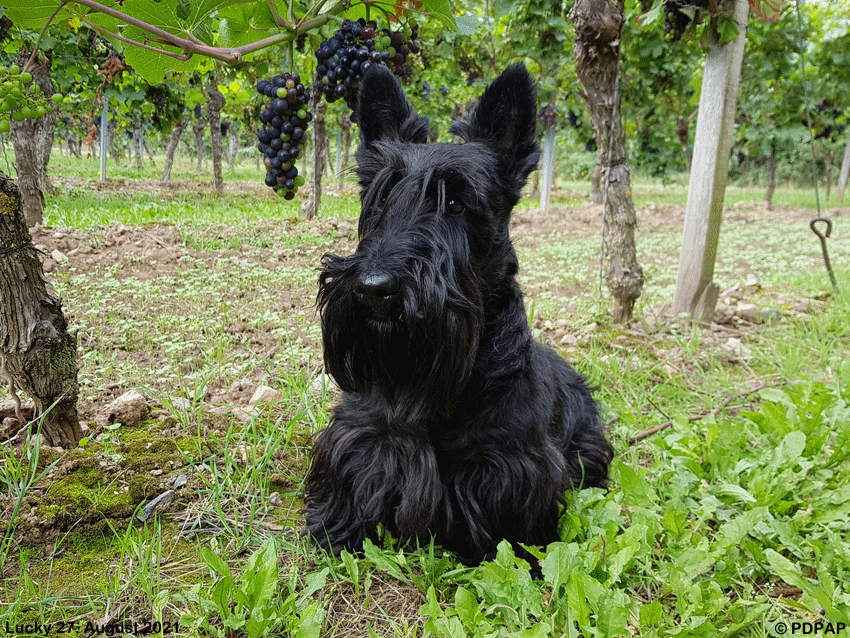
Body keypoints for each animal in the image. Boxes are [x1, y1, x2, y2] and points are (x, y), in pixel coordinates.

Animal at [302, 63, 612, 576]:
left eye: (456, 203)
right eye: (380, 200)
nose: (374, 290)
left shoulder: (509, 464)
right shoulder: (363, 437)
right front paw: (335, 530)